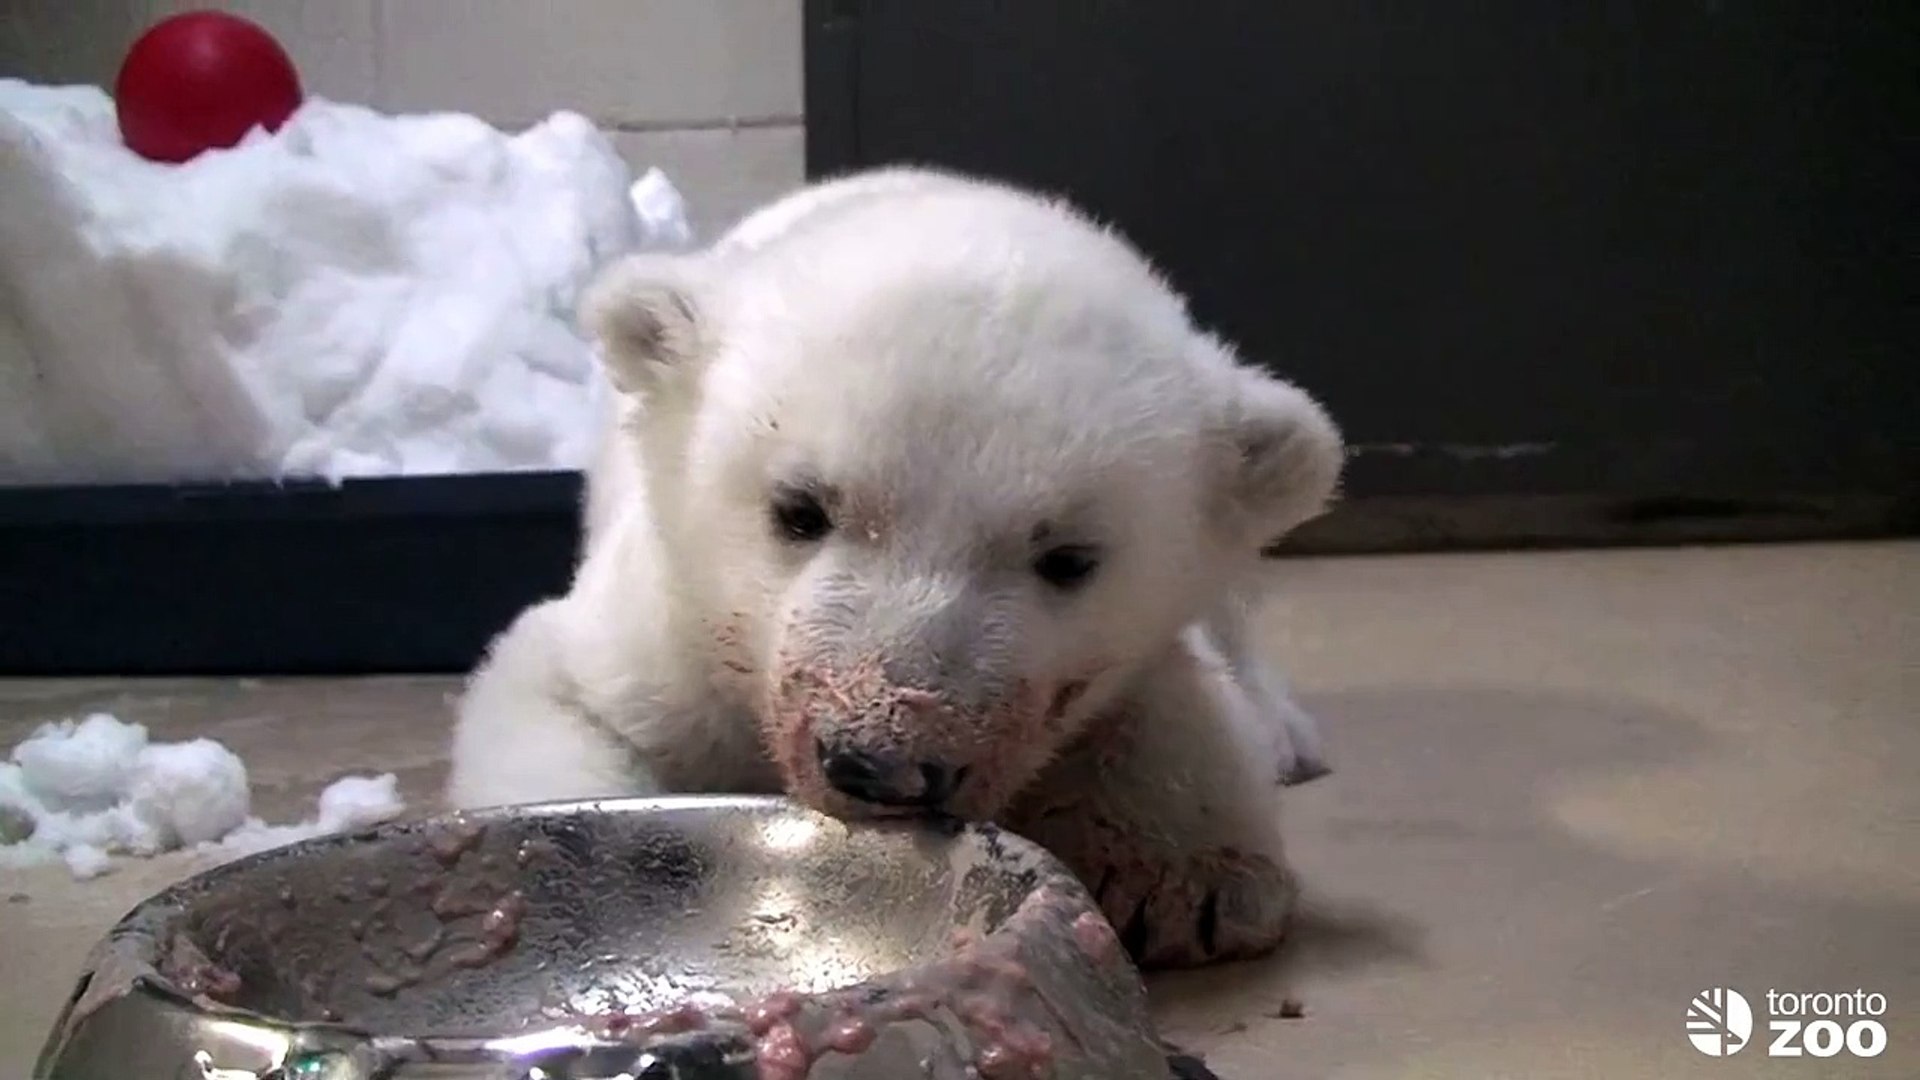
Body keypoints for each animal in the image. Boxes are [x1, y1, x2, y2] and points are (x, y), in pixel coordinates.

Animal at [445, 166, 1344, 969]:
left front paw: (1194, 887)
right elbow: (562, 697)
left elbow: (1165, 701)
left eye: (1068, 557)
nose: (884, 764)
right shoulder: (663, 632)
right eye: (799, 509)